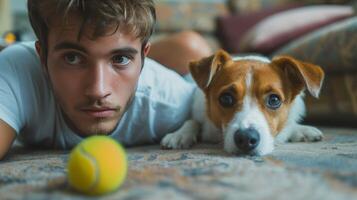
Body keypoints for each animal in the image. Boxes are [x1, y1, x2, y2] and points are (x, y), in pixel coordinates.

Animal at [160, 49, 324, 155]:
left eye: (274, 100)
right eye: (226, 98)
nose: (246, 139)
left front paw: (301, 130)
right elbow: (193, 121)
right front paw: (180, 134)